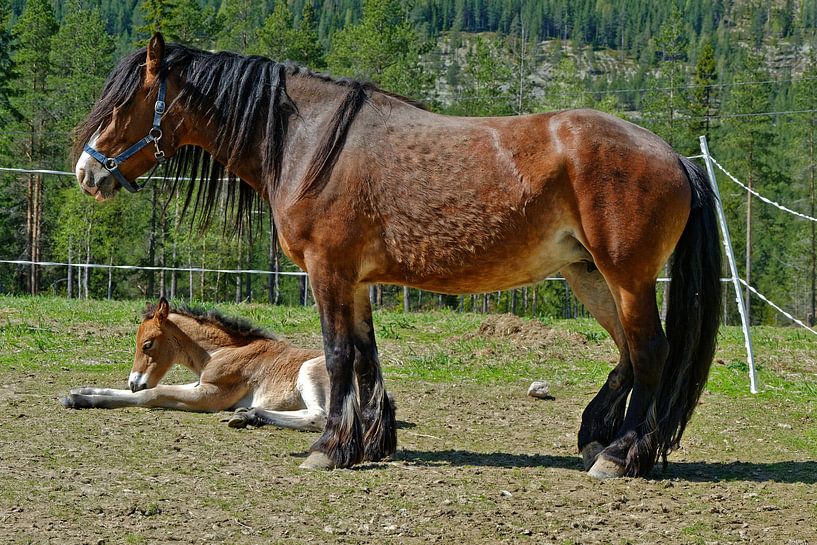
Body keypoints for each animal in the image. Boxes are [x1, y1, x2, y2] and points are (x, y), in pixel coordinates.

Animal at [62, 297, 333, 432]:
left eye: (147, 344)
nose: (133, 381)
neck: (224, 351)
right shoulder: (198, 384)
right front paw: (80, 392)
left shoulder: (211, 395)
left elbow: (153, 393)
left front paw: (82, 400)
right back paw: (247, 414)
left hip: (308, 370)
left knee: (320, 418)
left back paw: (249, 415)